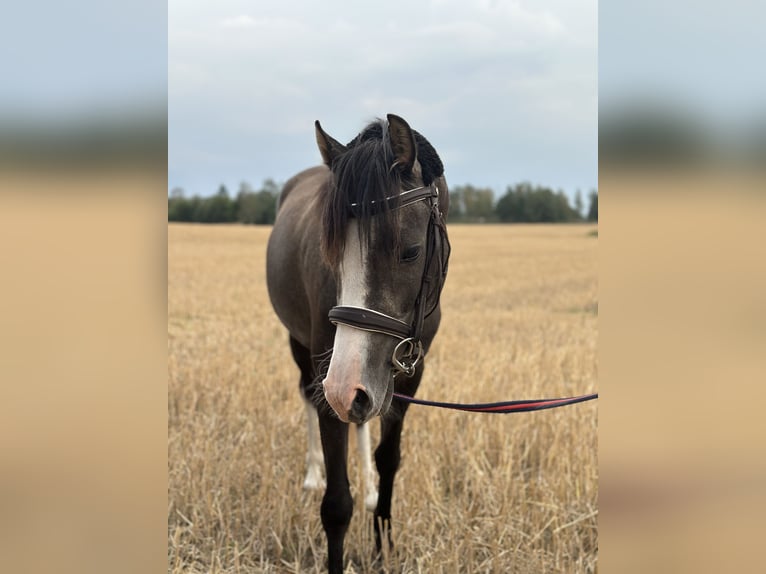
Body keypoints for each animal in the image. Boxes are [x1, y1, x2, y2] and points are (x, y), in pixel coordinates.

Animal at [268, 115, 452, 572]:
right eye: (331, 252)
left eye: (410, 251)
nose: (343, 389)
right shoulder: (328, 374)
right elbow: (336, 505)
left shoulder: (408, 374)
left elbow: (390, 459)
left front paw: (383, 545)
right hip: (305, 351)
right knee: (307, 395)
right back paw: (312, 474)